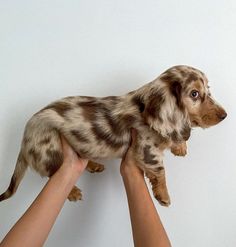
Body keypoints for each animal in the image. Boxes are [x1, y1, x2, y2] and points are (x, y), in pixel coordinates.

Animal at [0, 65, 227, 206]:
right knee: (52, 171)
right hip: (50, 148)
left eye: (208, 89)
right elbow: (160, 171)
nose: (225, 115)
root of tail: (25, 136)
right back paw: (73, 192)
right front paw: (163, 196)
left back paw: (94, 165)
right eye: (194, 94)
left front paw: (180, 146)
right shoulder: (147, 149)